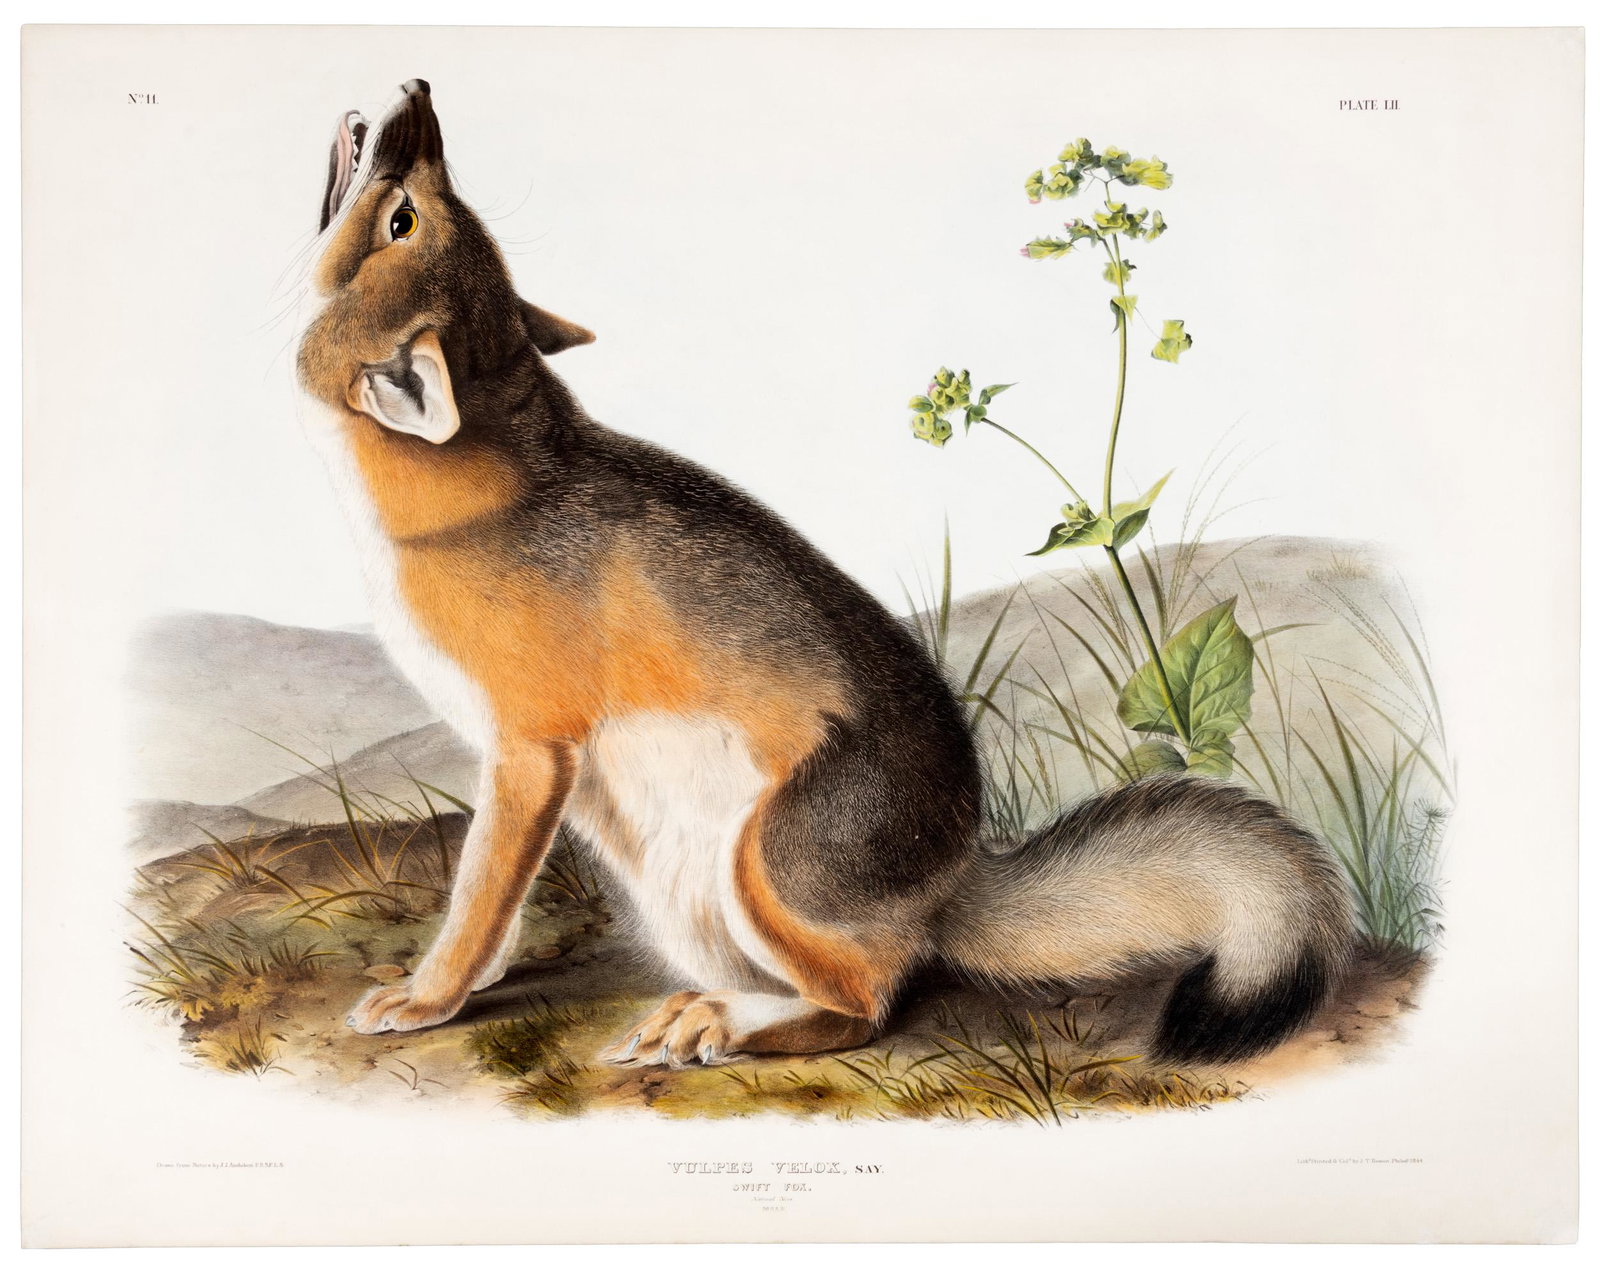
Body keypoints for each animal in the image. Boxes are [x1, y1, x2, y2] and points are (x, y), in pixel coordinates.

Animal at [294, 80, 1354, 1068]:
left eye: (410, 215)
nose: (421, 92)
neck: (491, 479)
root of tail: (951, 881)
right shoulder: (528, 768)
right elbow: (499, 909)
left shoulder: (529, 754)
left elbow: (478, 897)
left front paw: (429, 996)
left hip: (757, 866)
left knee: (866, 1001)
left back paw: (716, 1021)